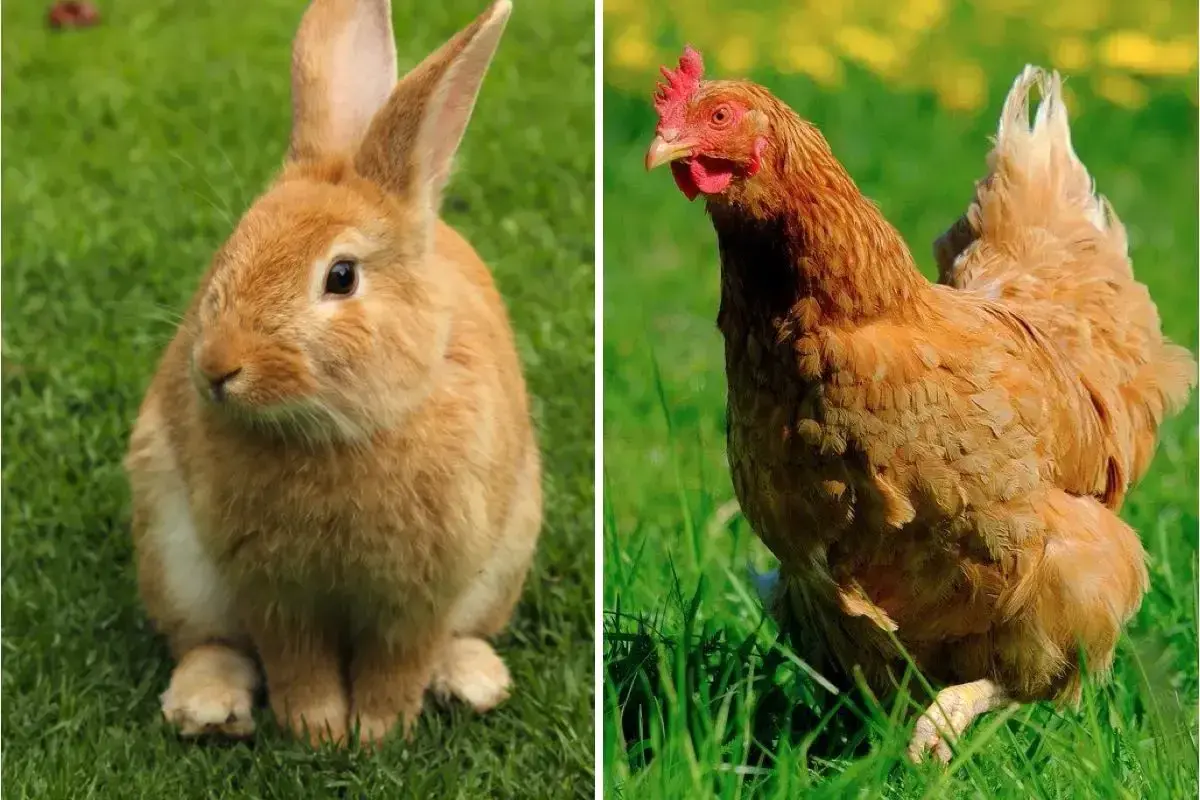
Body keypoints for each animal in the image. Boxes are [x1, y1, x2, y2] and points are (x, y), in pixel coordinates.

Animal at [123, 0, 542, 747]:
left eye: (341, 277)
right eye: (229, 250)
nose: (218, 368)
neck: (342, 433)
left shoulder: (422, 592)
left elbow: (398, 662)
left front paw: (376, 733)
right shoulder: (272, 590)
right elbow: (297, 661)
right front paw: (318, 730)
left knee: (460, 637)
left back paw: (473, 683)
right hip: (173, 558)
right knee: (209, 642)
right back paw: (207, 709)